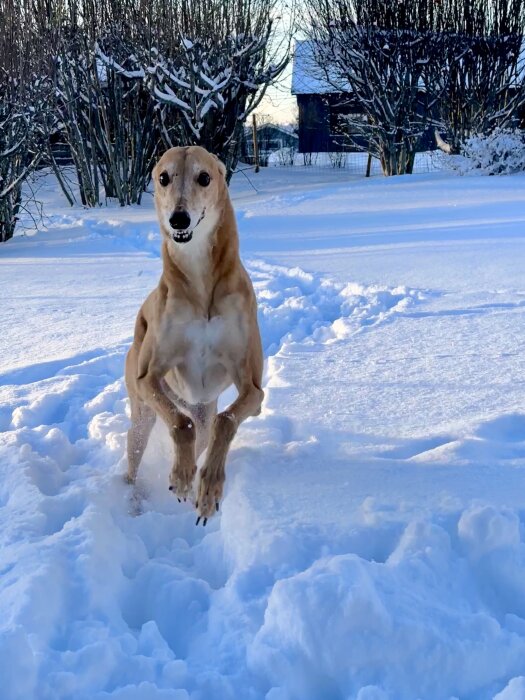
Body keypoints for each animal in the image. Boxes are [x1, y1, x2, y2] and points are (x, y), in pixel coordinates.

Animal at [125, 145, 264, 524]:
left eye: (204, 177)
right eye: (163, 177)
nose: (179, 219)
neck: (200, 283)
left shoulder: (253, 388)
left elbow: (226, 421)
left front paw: (209, 489)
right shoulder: (148, 378)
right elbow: (180, 425)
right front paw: (183, 477)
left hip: (198, 407)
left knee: (203, 426)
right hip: (142, 414)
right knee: (133, 462)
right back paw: (134, 500)